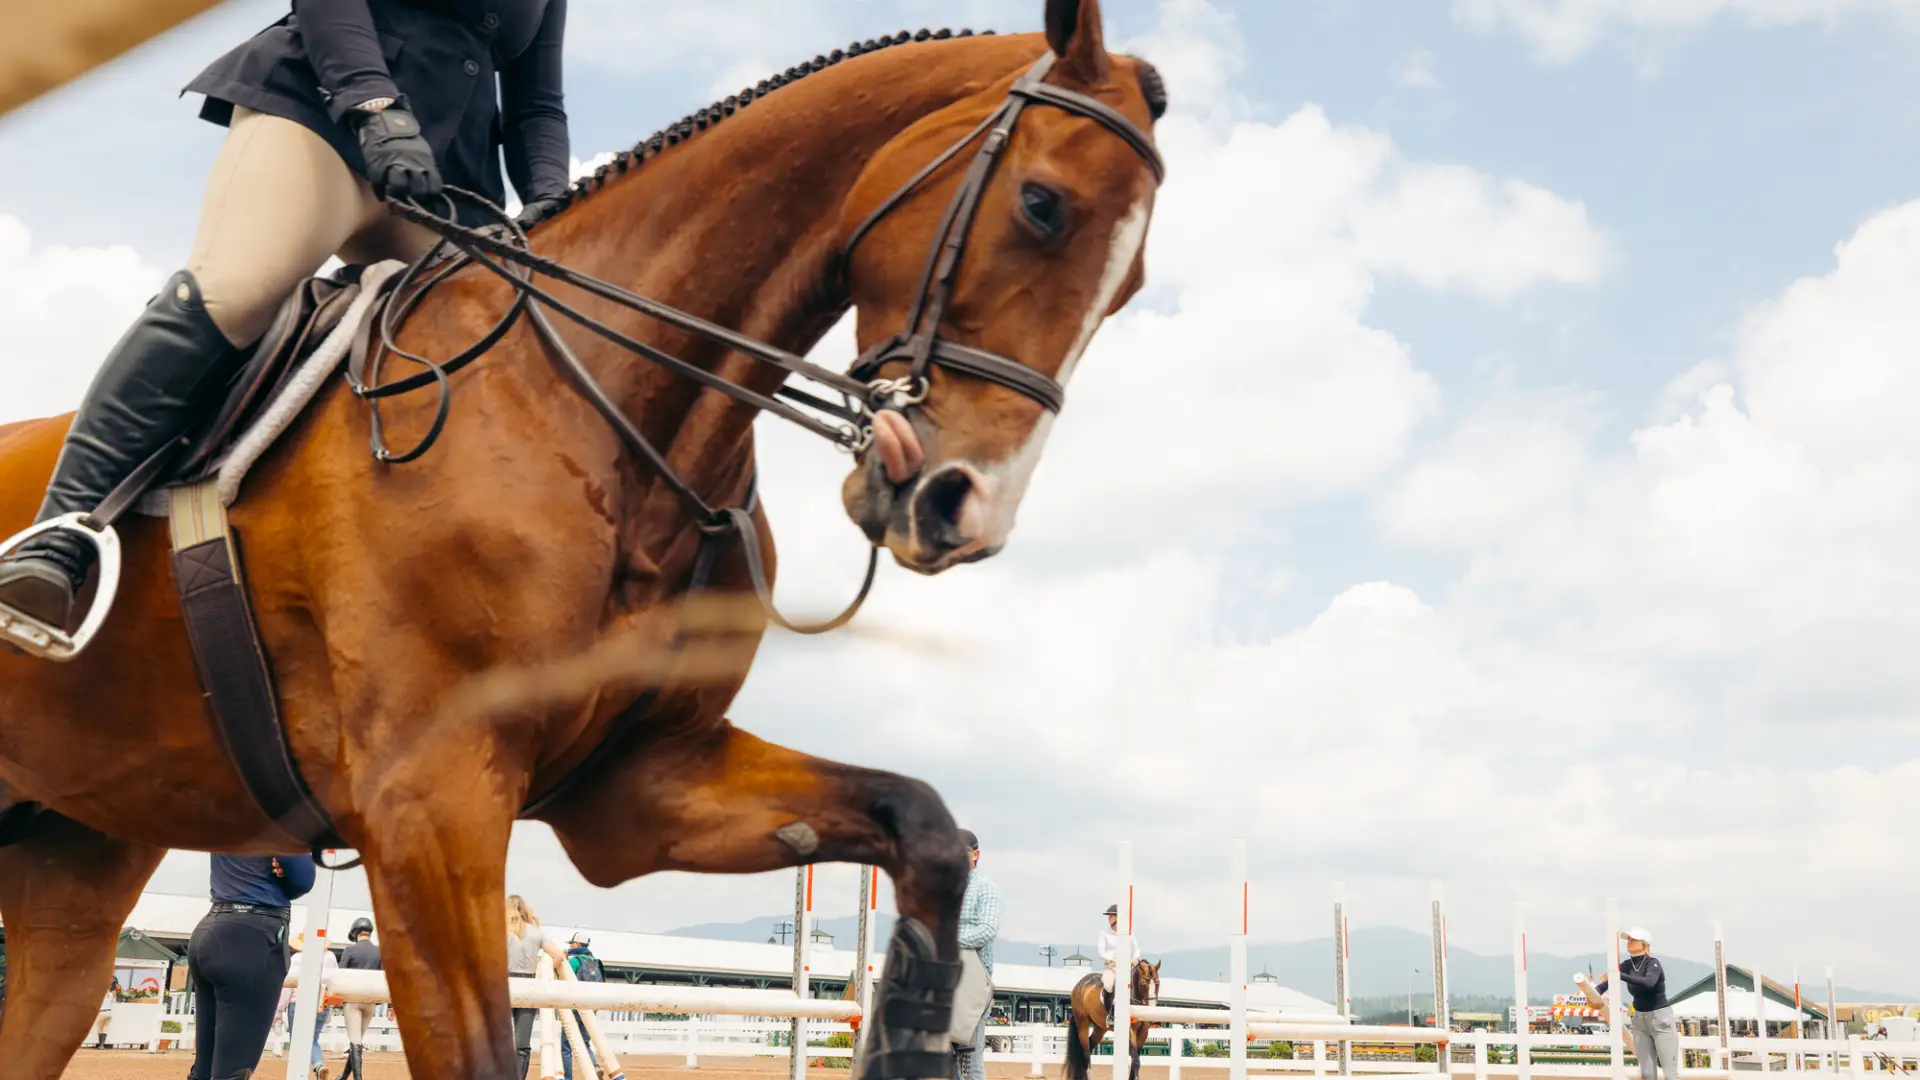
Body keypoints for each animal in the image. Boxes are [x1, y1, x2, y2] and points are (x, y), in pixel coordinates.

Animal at [0, 0, 1166, 1078]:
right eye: (1043, 205)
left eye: (1137, 286)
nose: (961, 508)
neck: (599, 411)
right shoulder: (429, 804)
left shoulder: (640, 783)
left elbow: (922, 823)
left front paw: (917, 1022)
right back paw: (43, 578)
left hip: (74, 857)